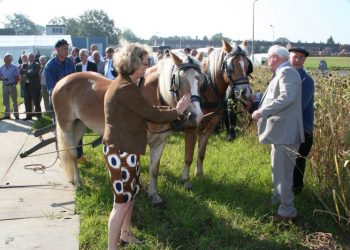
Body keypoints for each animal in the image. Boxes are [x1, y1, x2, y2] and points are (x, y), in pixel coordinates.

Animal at [52, 51, 205, 202]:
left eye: (201, 82)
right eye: (180, 80)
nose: (195, 116)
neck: (151, 96)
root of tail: (62, 81)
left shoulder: (160, 142)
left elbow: (154, 170)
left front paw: (153, 195)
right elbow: (133, 169)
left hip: (80, 124)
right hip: (66, 125)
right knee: (71, 153)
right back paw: (78, 182)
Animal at [182, 39, 253, 189]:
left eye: (247, 65)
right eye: (231, 66)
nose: (246, 92)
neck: (207, 88)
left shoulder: (211, 124)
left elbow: (201, 152)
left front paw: (199, 174)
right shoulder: (192, 126)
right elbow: (189, 154)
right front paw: (185, 179)